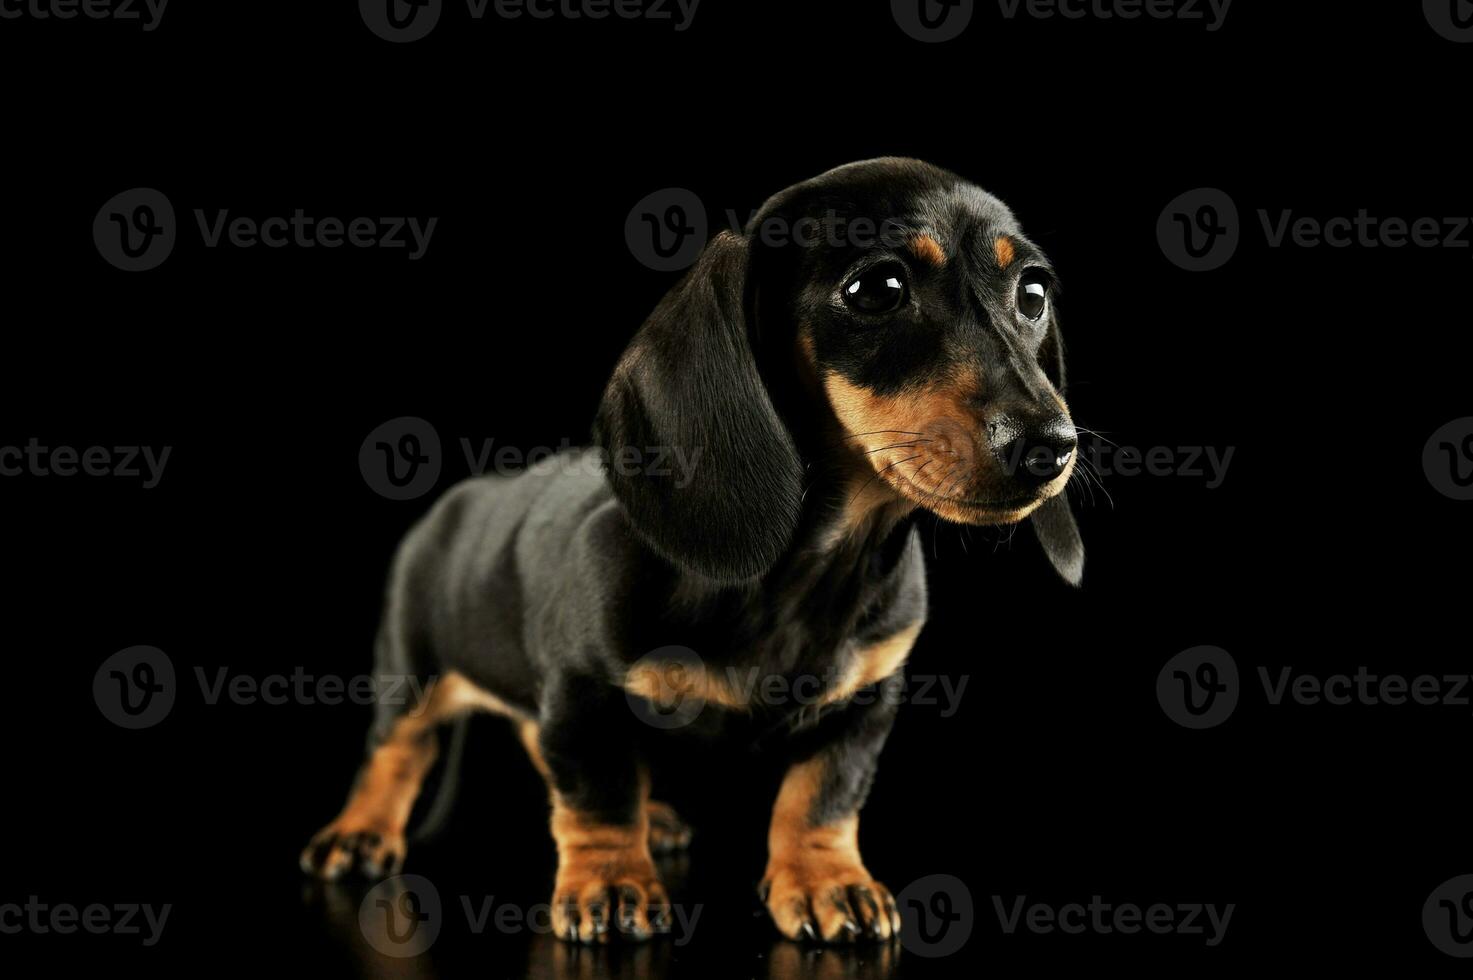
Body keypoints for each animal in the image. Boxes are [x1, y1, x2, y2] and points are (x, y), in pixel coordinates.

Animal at [301, 158, 1084, 943]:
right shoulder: (581, 689)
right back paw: (360, 833)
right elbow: (597, 794)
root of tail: (457, 500)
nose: (1048, 447)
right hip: (413, 665)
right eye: (877, 289)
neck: (807, 572)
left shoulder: (866, 697)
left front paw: (824, 880)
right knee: (397, 750)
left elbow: (823, 796)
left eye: (1033, 293)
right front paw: (611, 882)